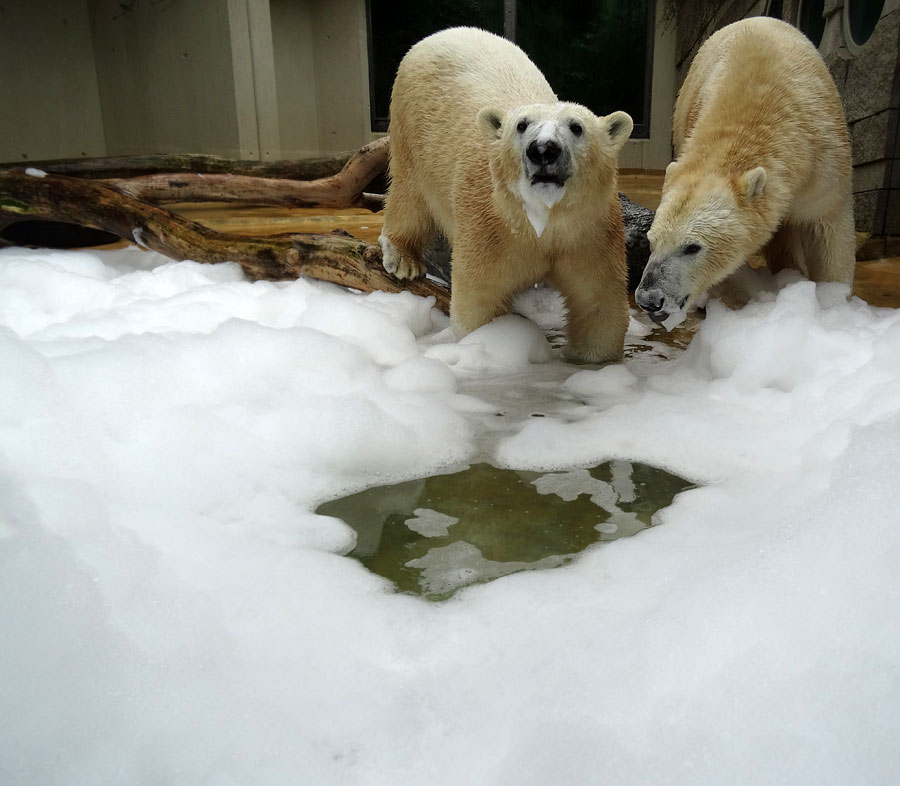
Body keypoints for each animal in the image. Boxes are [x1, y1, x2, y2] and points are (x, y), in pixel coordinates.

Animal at [380, 26, 632, 364]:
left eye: (576, 127)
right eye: (521, 126)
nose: (543, 150)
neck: (540, 222)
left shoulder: (590, 231)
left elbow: (599, 304)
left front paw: (587, 358)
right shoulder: (488, 228)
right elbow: (480, 301)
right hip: (411, 127)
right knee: (409, 195)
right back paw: (403, 259)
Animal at [636, 17, 856, 324]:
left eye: (692, 247)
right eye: (651, 241)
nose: (649, 299)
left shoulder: (824, 160)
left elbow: (827, 226)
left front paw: (833, 305)